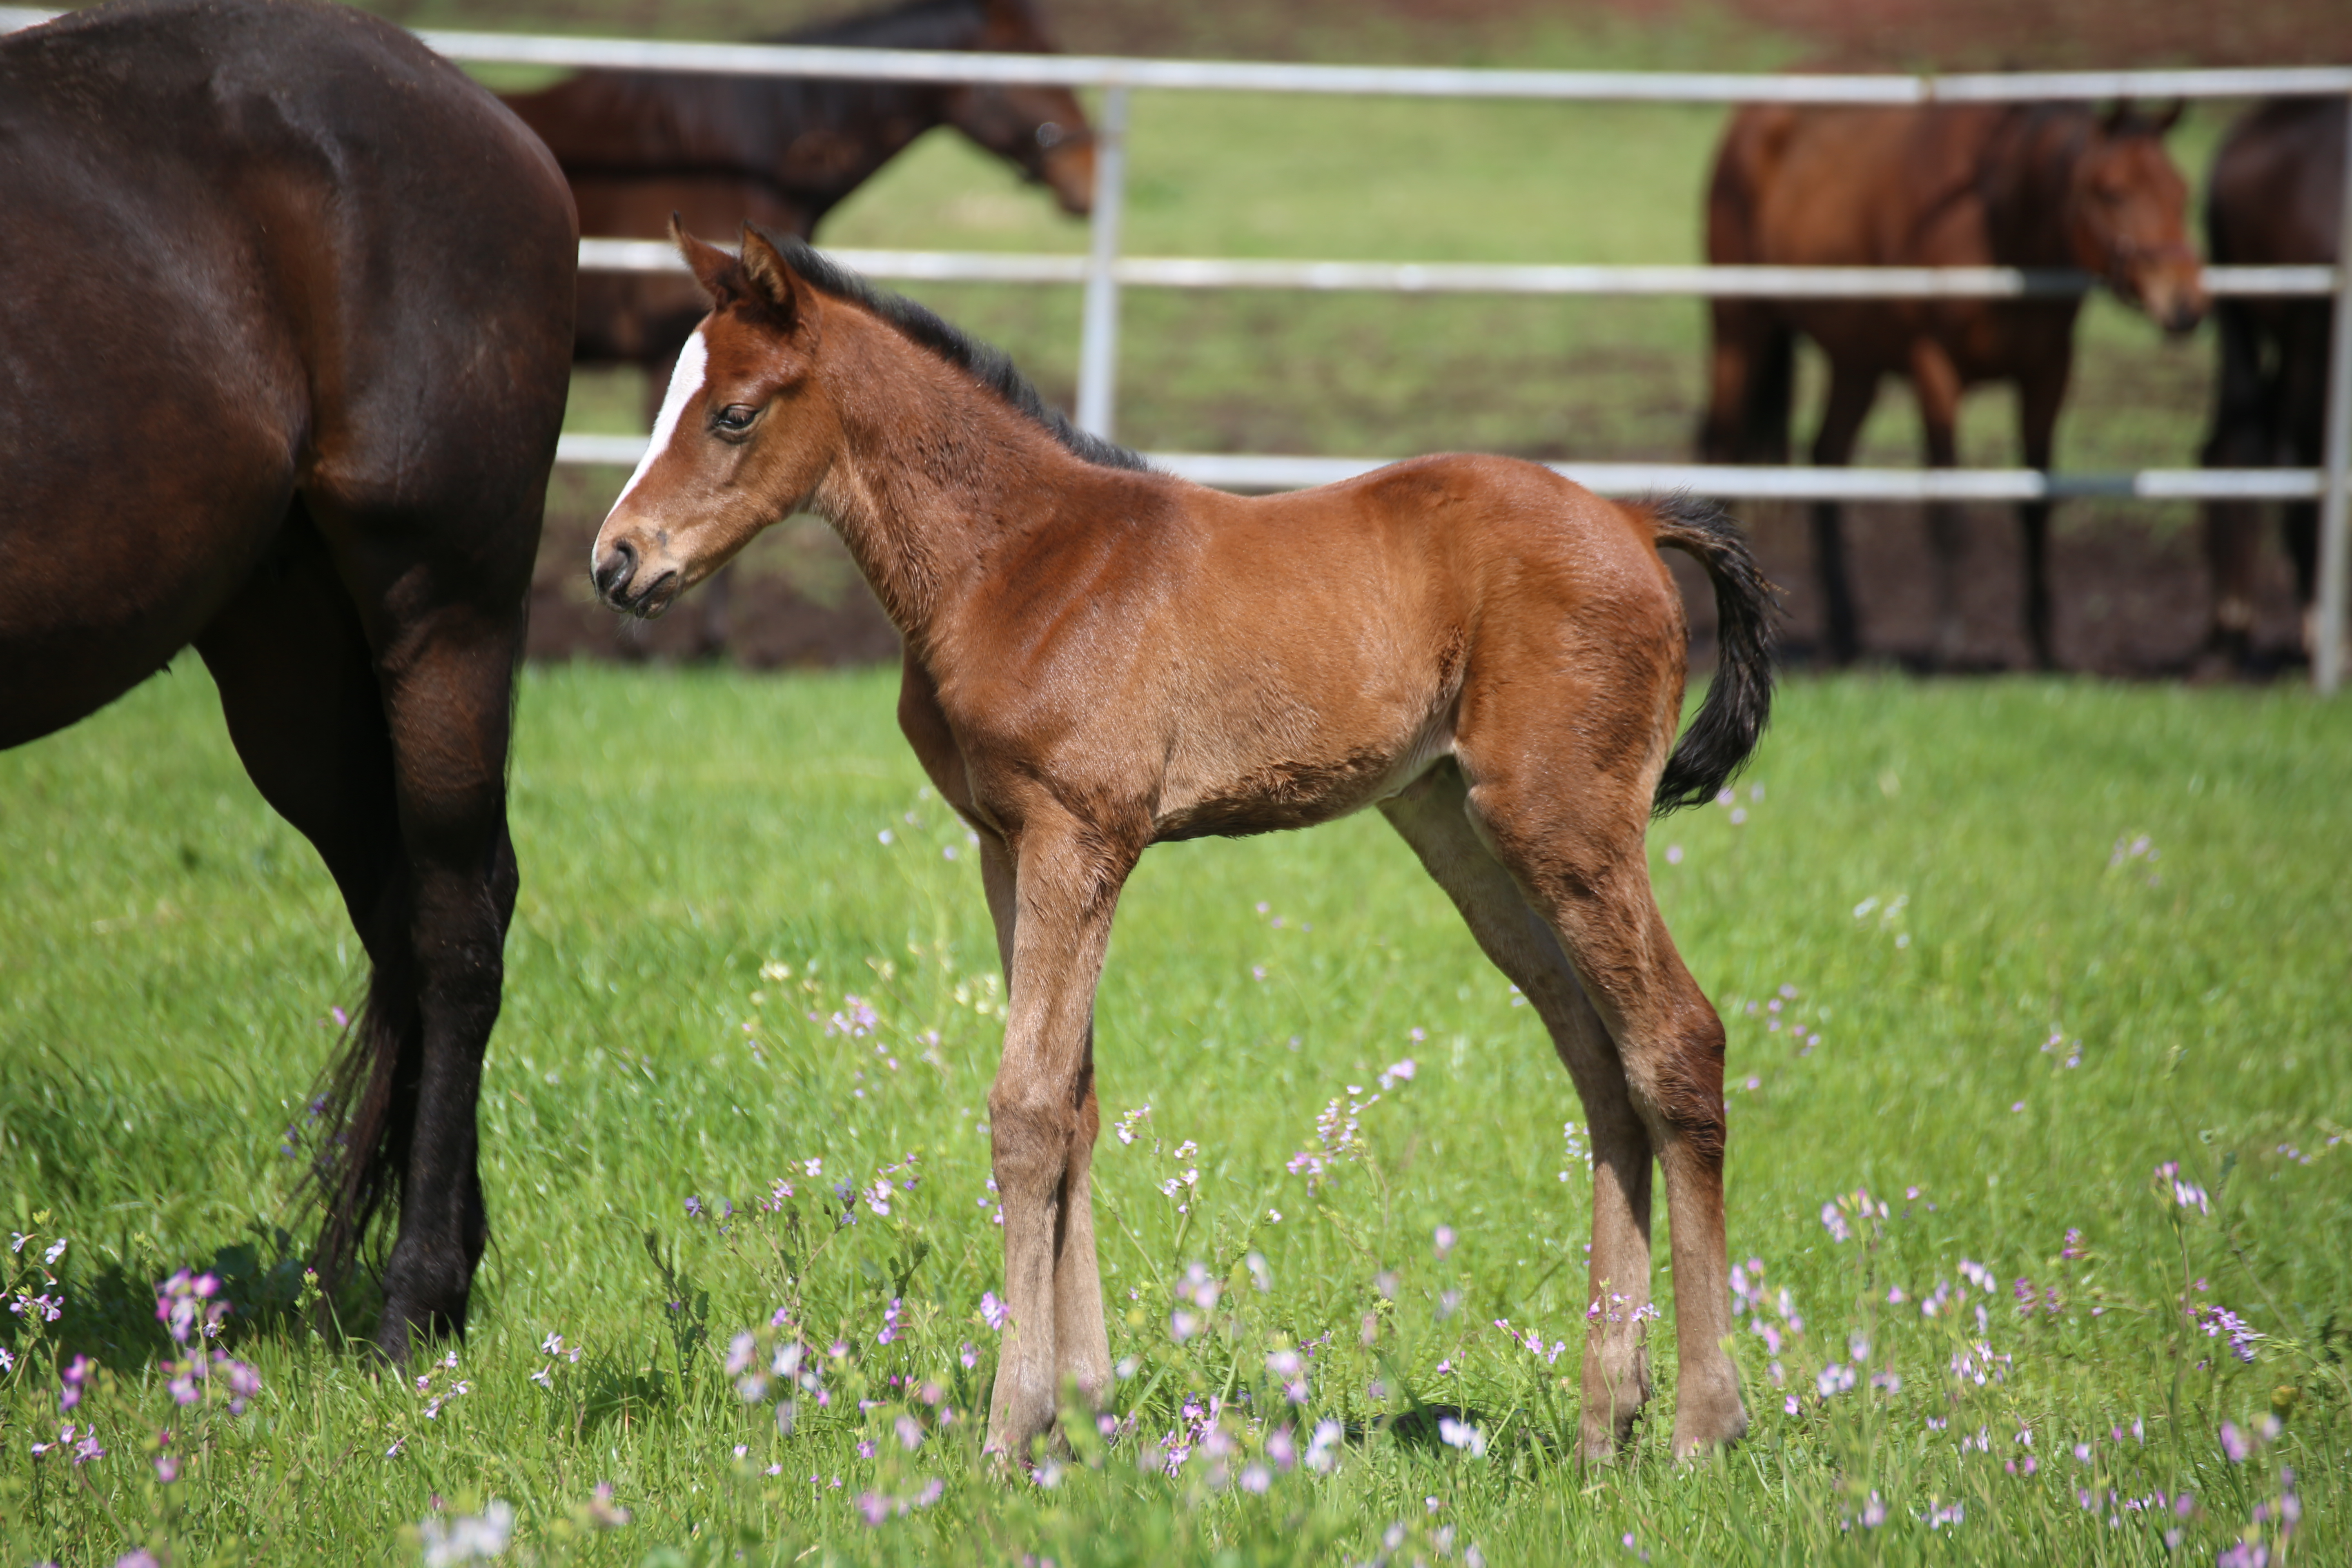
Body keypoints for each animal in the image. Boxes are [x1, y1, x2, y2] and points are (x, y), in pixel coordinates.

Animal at [2, 0, 581, 1354]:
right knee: (406, 909)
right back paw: (445, 1266)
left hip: (444, 604)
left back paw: (415, 1297)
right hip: (292, 664)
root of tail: (499, 124)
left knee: (453, 928)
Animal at [592, 223, 1778, 1476]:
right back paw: (1606, 1416)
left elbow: (1025, 1109)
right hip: (1461, 832)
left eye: (733, 414)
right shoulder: (1007, 847)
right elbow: (1074, 1105)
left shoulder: (1079, 836)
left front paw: (1010, 1428)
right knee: (1601, 1062)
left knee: (1674, 1042)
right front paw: (1082, 1407)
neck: (1013, 561)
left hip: (1565, 823)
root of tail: (1634, 522)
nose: (614, 562)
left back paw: (1704, 1421)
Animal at [1703, 102, 2211, 668]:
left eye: (2181, 191)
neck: (2000, 222)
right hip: (1740, 329)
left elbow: (2037, 503)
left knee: (1827, 457)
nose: (2185, 302)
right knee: (1724, 447)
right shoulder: (1935, 365)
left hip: (1856, 361)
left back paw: (1846, 626)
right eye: (2113, 191)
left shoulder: (2049, 371)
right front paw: (1950, 639)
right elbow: (1947, 508)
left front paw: (2043, 641)